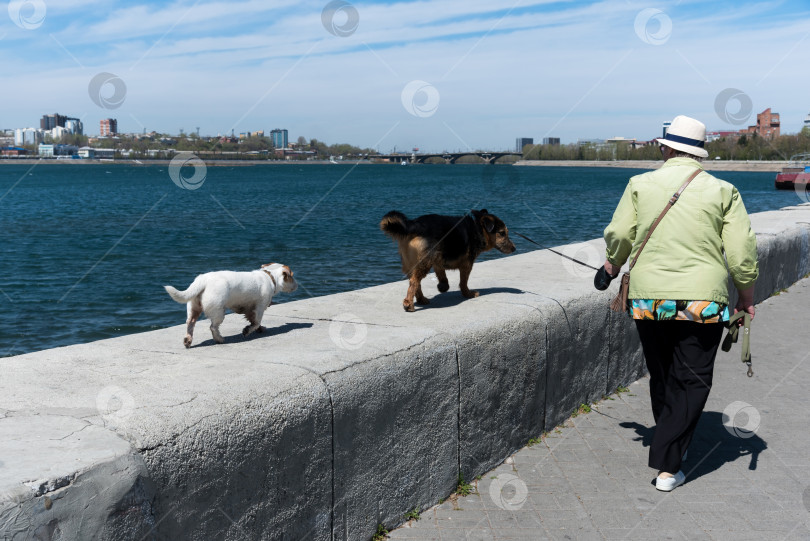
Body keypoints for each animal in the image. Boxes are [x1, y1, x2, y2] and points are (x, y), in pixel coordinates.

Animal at [162, 264, 296, 348]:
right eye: (292, 276)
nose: (297, 285)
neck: (270, 277)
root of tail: (202, 280)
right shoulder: (259, 308)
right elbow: (256, 322)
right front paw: (247, 330)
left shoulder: (249, 309)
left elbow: (254, 322)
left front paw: (259, 329)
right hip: (219, 312)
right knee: (213, 327)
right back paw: (219, 339)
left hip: (193, 308)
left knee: (190, 323)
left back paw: (188, 340)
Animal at [378, 211, 512, 312]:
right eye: (502, 233)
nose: (514, 248)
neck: (477, 229)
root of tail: (414, 224)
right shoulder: (467, 264)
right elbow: (463, 282)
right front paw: (468, 294)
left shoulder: (438, 260)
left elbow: (442, 276)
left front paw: (442, 286)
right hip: (424, 262)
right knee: (414, 282)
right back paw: (408, 304)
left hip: (414, 263)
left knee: (416, 282)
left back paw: (421, 299)